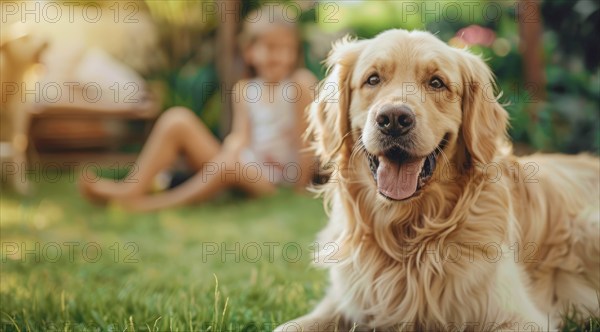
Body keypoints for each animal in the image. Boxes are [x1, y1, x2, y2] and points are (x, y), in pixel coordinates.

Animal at [276, 29, 600, 330]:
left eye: (436, 82)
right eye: (373, 79)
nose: (394, 120)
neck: (406, 234)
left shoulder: (518, 317)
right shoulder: (345, 301)